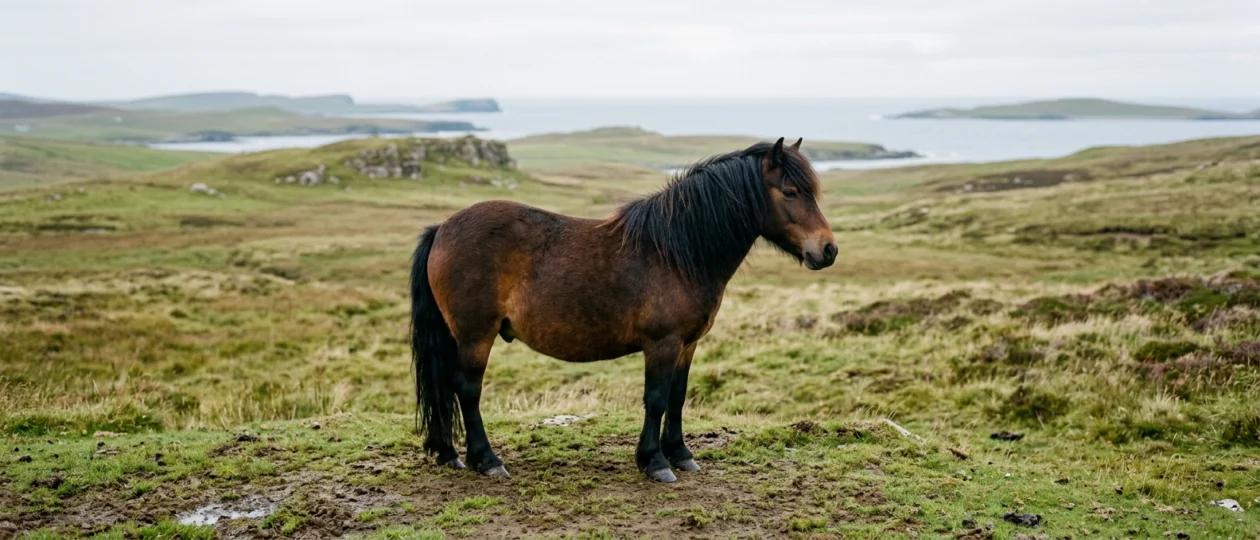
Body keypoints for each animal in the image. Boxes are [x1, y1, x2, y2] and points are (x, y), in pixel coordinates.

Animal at [409, 137, 837, 483]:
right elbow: (656, 399)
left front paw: (681, 455)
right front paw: (655, 462)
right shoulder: (662, 344)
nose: (828, 249)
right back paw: (487, 460)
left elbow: (678, 397)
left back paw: (449, 454)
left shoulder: (687, 344)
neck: (677, 252)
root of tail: (442, 229)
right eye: (790, 191)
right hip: (475, 336)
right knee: (467, 390)